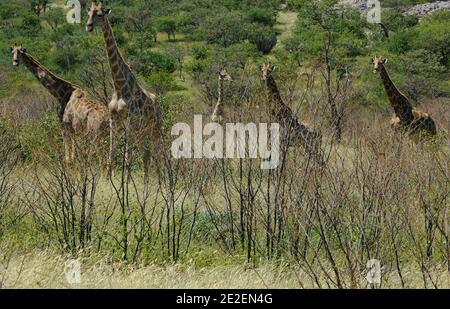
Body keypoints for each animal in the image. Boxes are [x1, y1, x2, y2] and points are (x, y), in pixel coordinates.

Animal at [86, 0, 162, 178]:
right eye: (89, 13)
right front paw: (109, 178)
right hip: (142, 131)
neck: (119, 86)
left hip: (155, 128)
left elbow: (127, 157)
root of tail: (158, 104)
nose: (89, 26)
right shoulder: (114, 121)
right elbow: (111, 154)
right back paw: (148, 181)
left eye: (100, 14)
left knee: (158, 155)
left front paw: (124, 181)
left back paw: (162, 181)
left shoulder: (129, 123)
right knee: (147, 156)